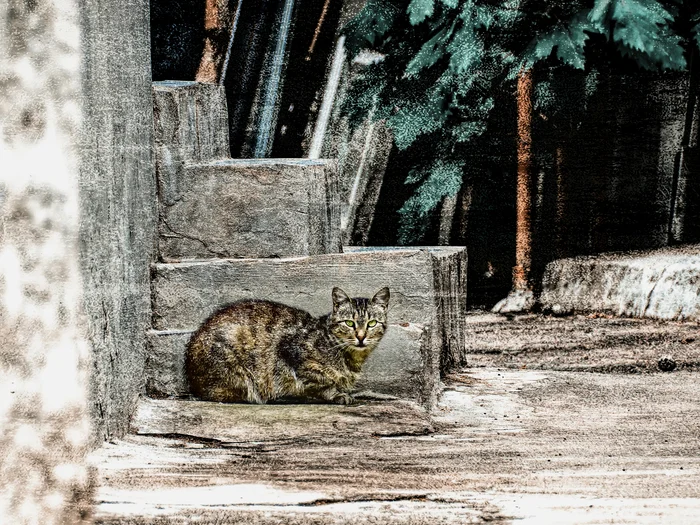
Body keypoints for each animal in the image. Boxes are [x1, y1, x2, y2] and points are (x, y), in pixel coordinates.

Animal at [185, 286, 388, 406]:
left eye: (371, 323)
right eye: (349, 323)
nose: (361, 337)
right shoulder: (289, 354)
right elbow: (322, 383)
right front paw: (338, 394)